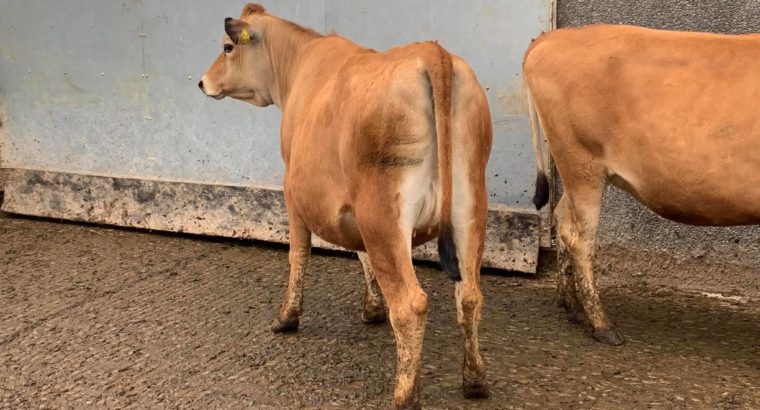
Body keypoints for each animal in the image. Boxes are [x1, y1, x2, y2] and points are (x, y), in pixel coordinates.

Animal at [199, 4, 492, 408]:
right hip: (470, 206)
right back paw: (474, 378)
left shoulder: (293, 193)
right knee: (469, 295)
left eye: (227, 47)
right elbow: (361, 255)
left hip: (382, 213)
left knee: (411, 305)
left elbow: (298, 255)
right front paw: (372, 309)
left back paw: (405, 395)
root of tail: (433, 53)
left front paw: (287, 317)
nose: (202, 82)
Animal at [523, 24, 760, 346]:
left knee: (562, 220)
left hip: (574, 166)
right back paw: (601, 325)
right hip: (582, 162)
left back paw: (571, 306)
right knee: (579, 239)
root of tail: (554, 37)